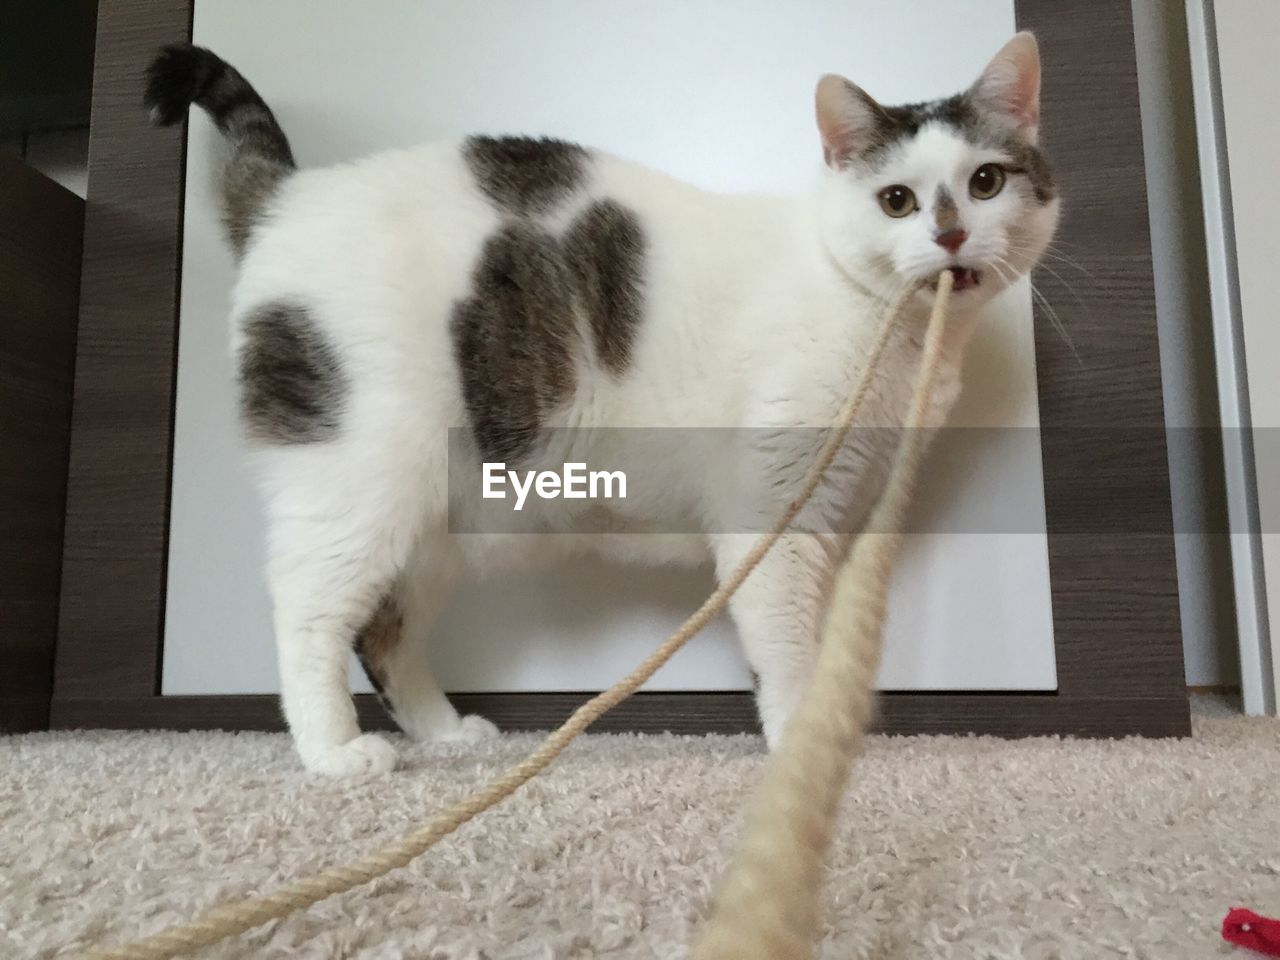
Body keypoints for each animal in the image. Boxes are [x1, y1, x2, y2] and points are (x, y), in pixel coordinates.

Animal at [145, 33, 1054, 778]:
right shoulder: (774, 524)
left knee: (386, 631)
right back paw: (333, 753)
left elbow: (823, 643)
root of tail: (291, 196)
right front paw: (800, 749)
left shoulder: (834, 514)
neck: (889, 331)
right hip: (363, 480)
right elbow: (788, 647)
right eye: (897, 200)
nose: (949, 235)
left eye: (985, 183)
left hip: (442, 514)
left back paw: (443, 734)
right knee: (306, 609)